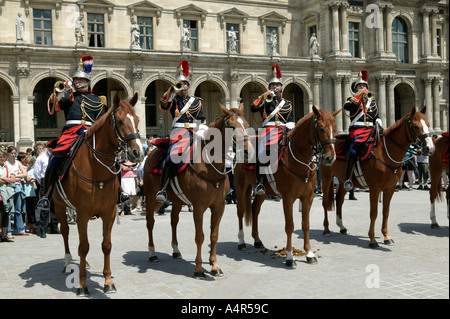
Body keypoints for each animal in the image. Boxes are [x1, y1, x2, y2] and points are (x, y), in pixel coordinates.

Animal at [52, 93, 144, 298]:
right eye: (120, 121)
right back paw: (68, 263)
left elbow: (106, 245)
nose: (138, 152)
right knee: (65, 231)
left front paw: (108, 281)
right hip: (59, 206)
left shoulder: (108, 211)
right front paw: (82, 285)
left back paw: (83, 263)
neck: (97, 169)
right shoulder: (83, 213)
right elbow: (84, 246)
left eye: (137, 120)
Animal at [143, 104, 253, 278]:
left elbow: (214, 235)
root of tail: (152, 152)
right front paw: (199, 269)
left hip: (177, 200)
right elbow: (200, 236)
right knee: (150, 222)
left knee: (173, 221)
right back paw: (152, 253)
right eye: (231, 126)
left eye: (247, 125)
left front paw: (214, 266)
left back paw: (176, 250)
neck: (210, 168)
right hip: (151, 197)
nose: (249, 151)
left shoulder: (219, 207)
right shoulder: (199, 207)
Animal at [236, 107, 338, 268]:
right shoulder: (288, 198)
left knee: (254, 209)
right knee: (240, 211)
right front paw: (290, 257)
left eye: (335, 128)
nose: (330, 158)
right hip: (241, 186)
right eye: (321, 128)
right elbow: (290, 225)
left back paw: (257, 240)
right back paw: (241, 241)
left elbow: (305, 224)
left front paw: (309, 254)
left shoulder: (308, 197)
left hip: (262, 192)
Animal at [322, 106, 434, 249]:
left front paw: (386, 236)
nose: (430, 148)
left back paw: (342, 227)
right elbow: (373, 213)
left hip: (343, 180)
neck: (386, 153)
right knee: (325, 202)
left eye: (428, 125)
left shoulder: (390, 188)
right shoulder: (374, 188)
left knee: (339, 200)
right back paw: (326, 229)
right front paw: (372, 240)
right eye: (415, 126)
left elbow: (385, 212)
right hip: (326, 177)